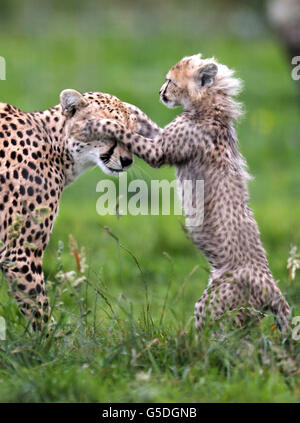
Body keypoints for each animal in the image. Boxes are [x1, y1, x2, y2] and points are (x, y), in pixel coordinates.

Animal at [0, 89, 162, 332]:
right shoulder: (19, 254)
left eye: (133, 135)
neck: (56, 146)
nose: (127, 161)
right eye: (109, 131)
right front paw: (52, 342)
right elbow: (41, 316)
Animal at [95, 53, 290, 332]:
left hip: (214, 305)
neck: (211, 106)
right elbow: (147, 125)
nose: (160, 92)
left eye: (169, 81)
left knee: (220, 338)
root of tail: (270, 284)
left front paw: (102, 122)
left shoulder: (158, 152)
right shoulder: (163, 139)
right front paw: (130, 108)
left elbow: (130, 135)